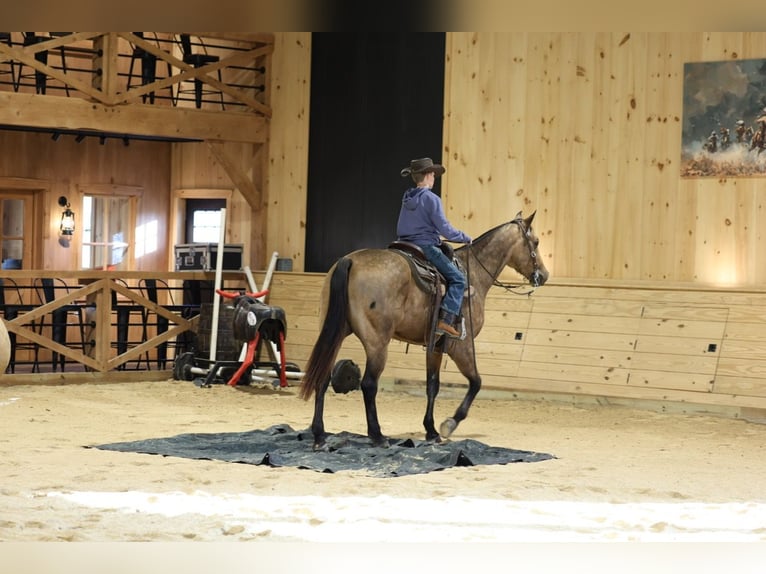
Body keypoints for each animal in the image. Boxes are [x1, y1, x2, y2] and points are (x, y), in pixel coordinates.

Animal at [298, 210, 549, 450]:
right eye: (535, 242)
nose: (544, 276)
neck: (473, 274)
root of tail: (349, 261)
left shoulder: (436, 346)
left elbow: (432, 386)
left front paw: (431, 430)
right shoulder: (461, 345)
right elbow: (476, 381)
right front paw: (449, 424)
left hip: (334, 334)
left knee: (322, 377)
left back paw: (320, 436)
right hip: (377, 343)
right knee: (368, 384)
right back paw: (377, 436)